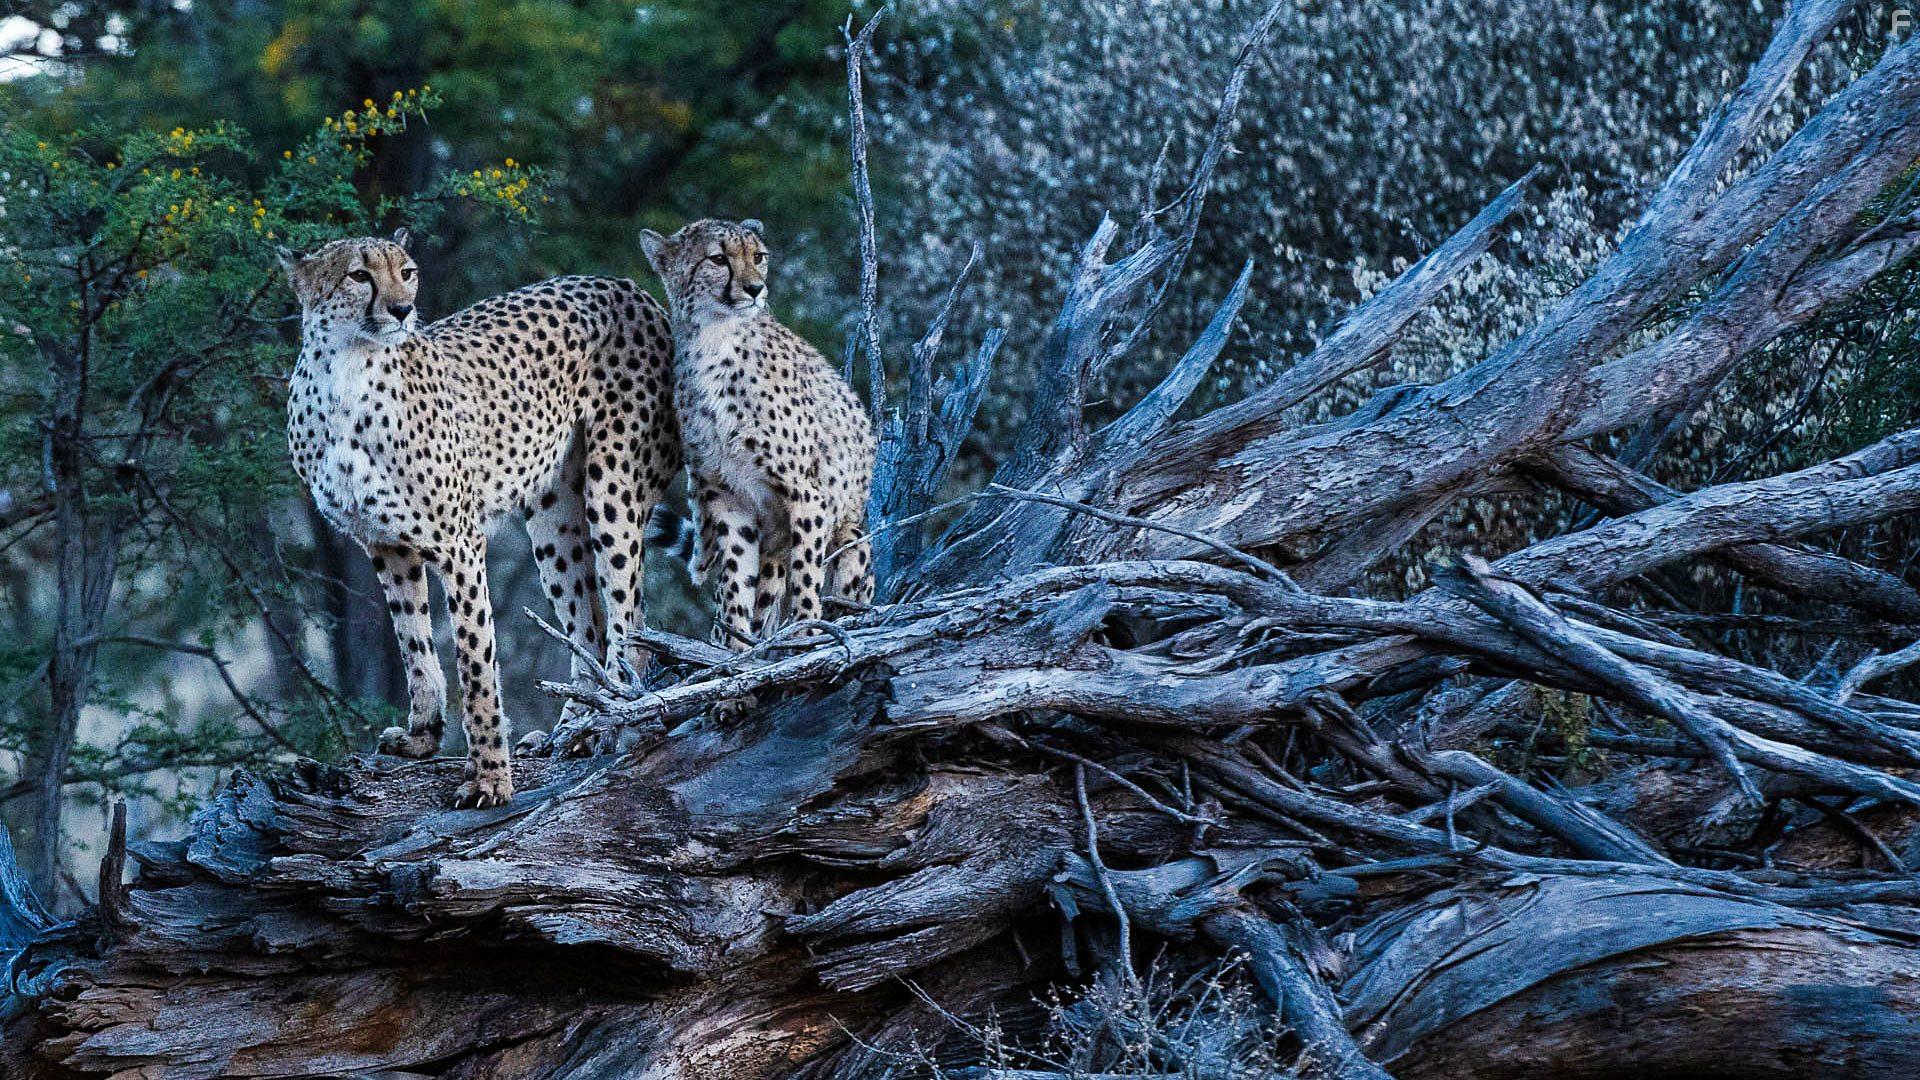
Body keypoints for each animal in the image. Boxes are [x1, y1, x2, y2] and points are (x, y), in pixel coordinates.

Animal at [281, 228, 678, 806]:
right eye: (359, 275)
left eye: (407, 271)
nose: (402, 310)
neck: (347, 375)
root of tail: (625, 285)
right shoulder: (386, 545)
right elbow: (415, 643)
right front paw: (424, 736)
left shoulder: (459, 542)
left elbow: (476, 660)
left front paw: (490, 776)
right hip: (553, 518)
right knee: (588, 623)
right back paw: (576, 725)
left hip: (614, 488)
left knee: (631, 618)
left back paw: (619, 719)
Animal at [639, 218, 875, 669]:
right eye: (717, 259)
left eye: (758, 256)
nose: (754, 289)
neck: (714, 341)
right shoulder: (726, 497)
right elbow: (736, 581)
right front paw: (733, 651)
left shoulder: (808, 495)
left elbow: (807, 577)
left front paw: (807, 635)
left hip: (853, 537)